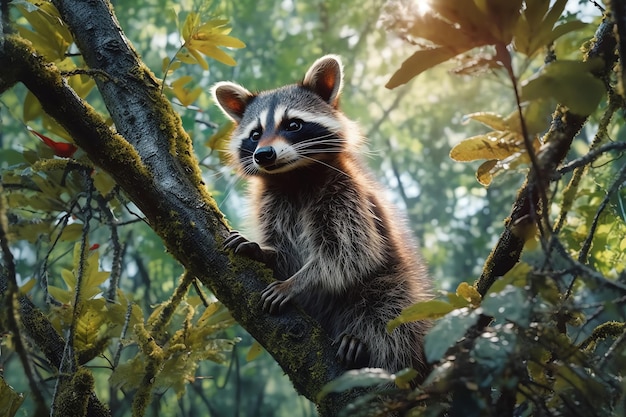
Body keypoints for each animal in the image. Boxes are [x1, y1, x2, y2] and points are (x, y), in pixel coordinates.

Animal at [212, 54, 432, 374]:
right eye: (255, 134)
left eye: (293, 124)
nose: (263, 155)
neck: (294, 176)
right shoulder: (273, 202)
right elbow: (285, 252)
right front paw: (263, 251)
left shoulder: (346, 195)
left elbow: (347, 257)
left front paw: (298, 282)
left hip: (398, 291)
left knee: (387, 317)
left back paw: (359, 340)